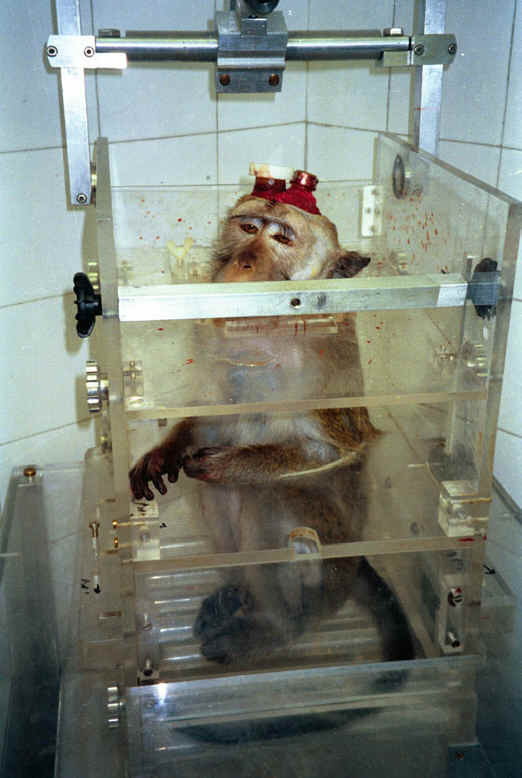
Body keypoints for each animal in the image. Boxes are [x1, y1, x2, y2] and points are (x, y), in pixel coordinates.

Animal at [130, 193, 415, 672]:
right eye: (248, 227)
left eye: (281, 238)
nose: (243, 261)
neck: (263, 329)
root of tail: (355, 564)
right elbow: (211, 416)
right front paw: (164, 451)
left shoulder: (323, 368)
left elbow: (336, 455)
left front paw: (235, 463)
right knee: (218, 498)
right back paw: (236, 594)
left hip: (332, 574)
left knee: (271, 497)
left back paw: (278, 626)